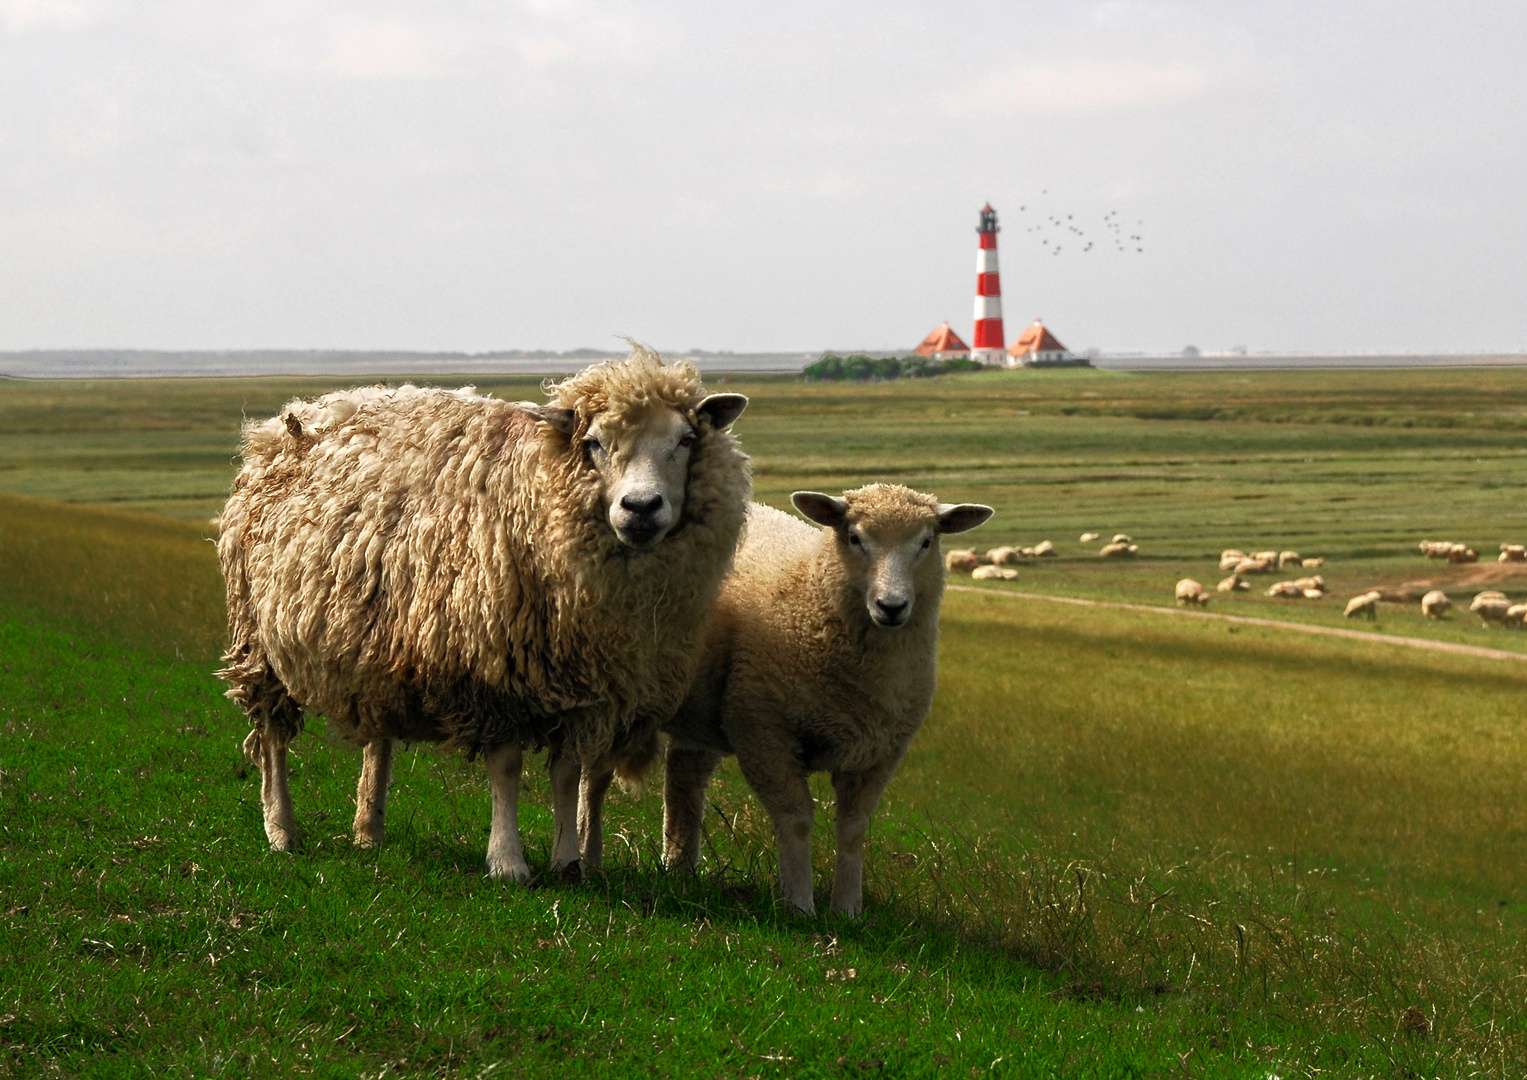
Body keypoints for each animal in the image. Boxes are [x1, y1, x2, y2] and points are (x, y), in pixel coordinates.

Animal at [218, 351, 754, 885]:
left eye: (685, 441)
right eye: (594, 443)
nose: (641, 507)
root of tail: (290, 417)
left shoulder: (580, 682)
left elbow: (567, 771)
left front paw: (567, 862)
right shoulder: (495, 671)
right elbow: (507, 766)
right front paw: (507, 861)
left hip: (380, 639)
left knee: (377, 739)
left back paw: (369, 831)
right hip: (257, 642)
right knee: (271, 737)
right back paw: (282, 831)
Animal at [580, 485, 989, 916]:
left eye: (926, 542)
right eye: (854, 537)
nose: (891, 606)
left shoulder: (880, 753)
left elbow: (854, 827)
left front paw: (847, 909)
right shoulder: (763, 730)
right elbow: (796, 817)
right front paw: (798, 903)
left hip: (705, 707)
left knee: (684, 778)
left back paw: (680, 870)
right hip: (613, 683)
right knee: (595, 776)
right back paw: (588, 857)